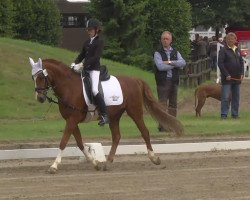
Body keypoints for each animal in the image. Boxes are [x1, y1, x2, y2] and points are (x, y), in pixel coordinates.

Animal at [28, 57, 184, 173]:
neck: (68, 86)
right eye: (33, 77)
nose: (40, 98)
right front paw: (95, 163)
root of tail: (135, 79)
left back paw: (154, 158)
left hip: (135, 111)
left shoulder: (72, 120)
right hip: (114, 116)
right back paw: (107, 163)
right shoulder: (72, 121)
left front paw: (54, 166)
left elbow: (63, 142)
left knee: (144, 132)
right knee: (116, 137)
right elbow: (79, 143)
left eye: (41, 76)